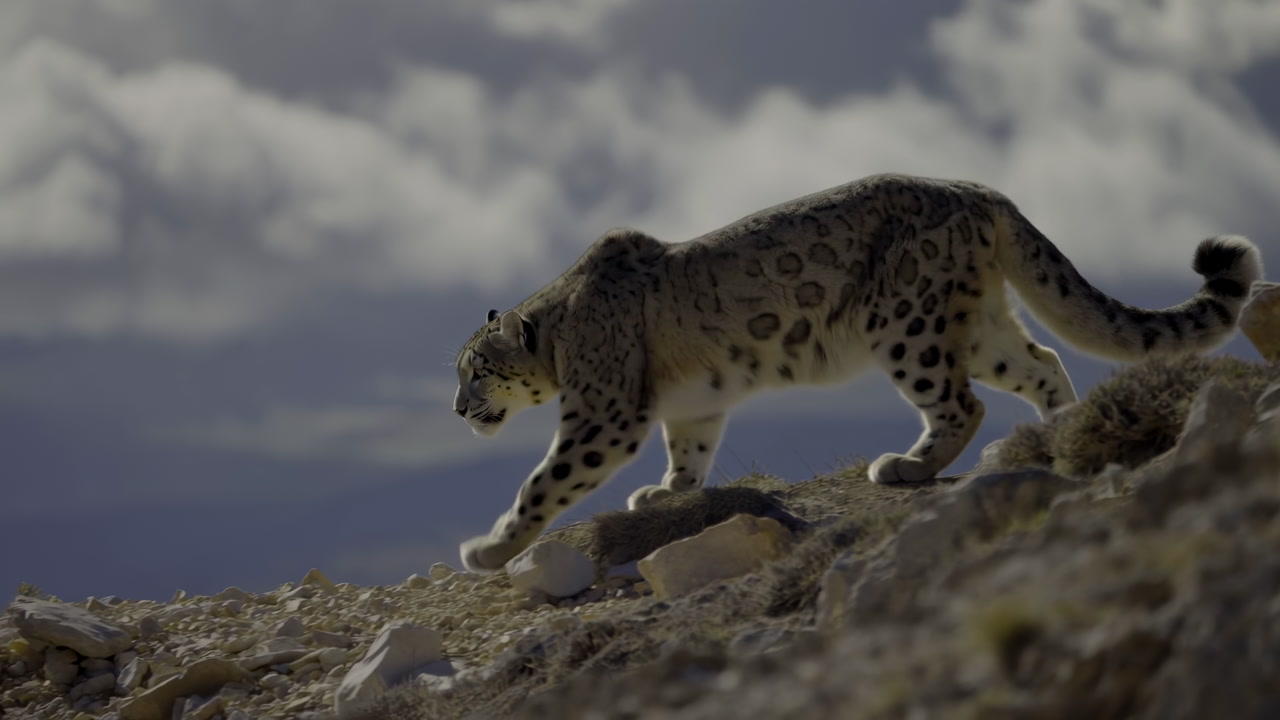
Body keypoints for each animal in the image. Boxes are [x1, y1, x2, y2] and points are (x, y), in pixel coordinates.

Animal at [450, 173, 1262, 572]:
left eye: (478, 369)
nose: (458, 410)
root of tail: (981, 193)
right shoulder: (692, 404)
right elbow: (690, 450)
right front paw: (666, 492)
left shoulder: (604, 414)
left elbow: (546, 480)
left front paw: (490, 548)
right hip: (977, 323)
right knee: (1040, 361)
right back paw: (1051, 436)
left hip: (906, 324)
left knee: (961, 403)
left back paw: (906, 466)